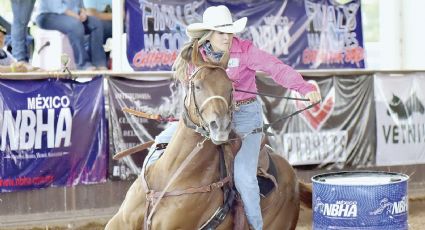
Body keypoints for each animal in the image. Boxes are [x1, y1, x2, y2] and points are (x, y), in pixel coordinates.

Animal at [106, 49, 312, 229]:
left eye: (230, 88)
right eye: (197, 85)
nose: (220, 126)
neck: (168, 177)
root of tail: (294, 179)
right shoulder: (119, 224)